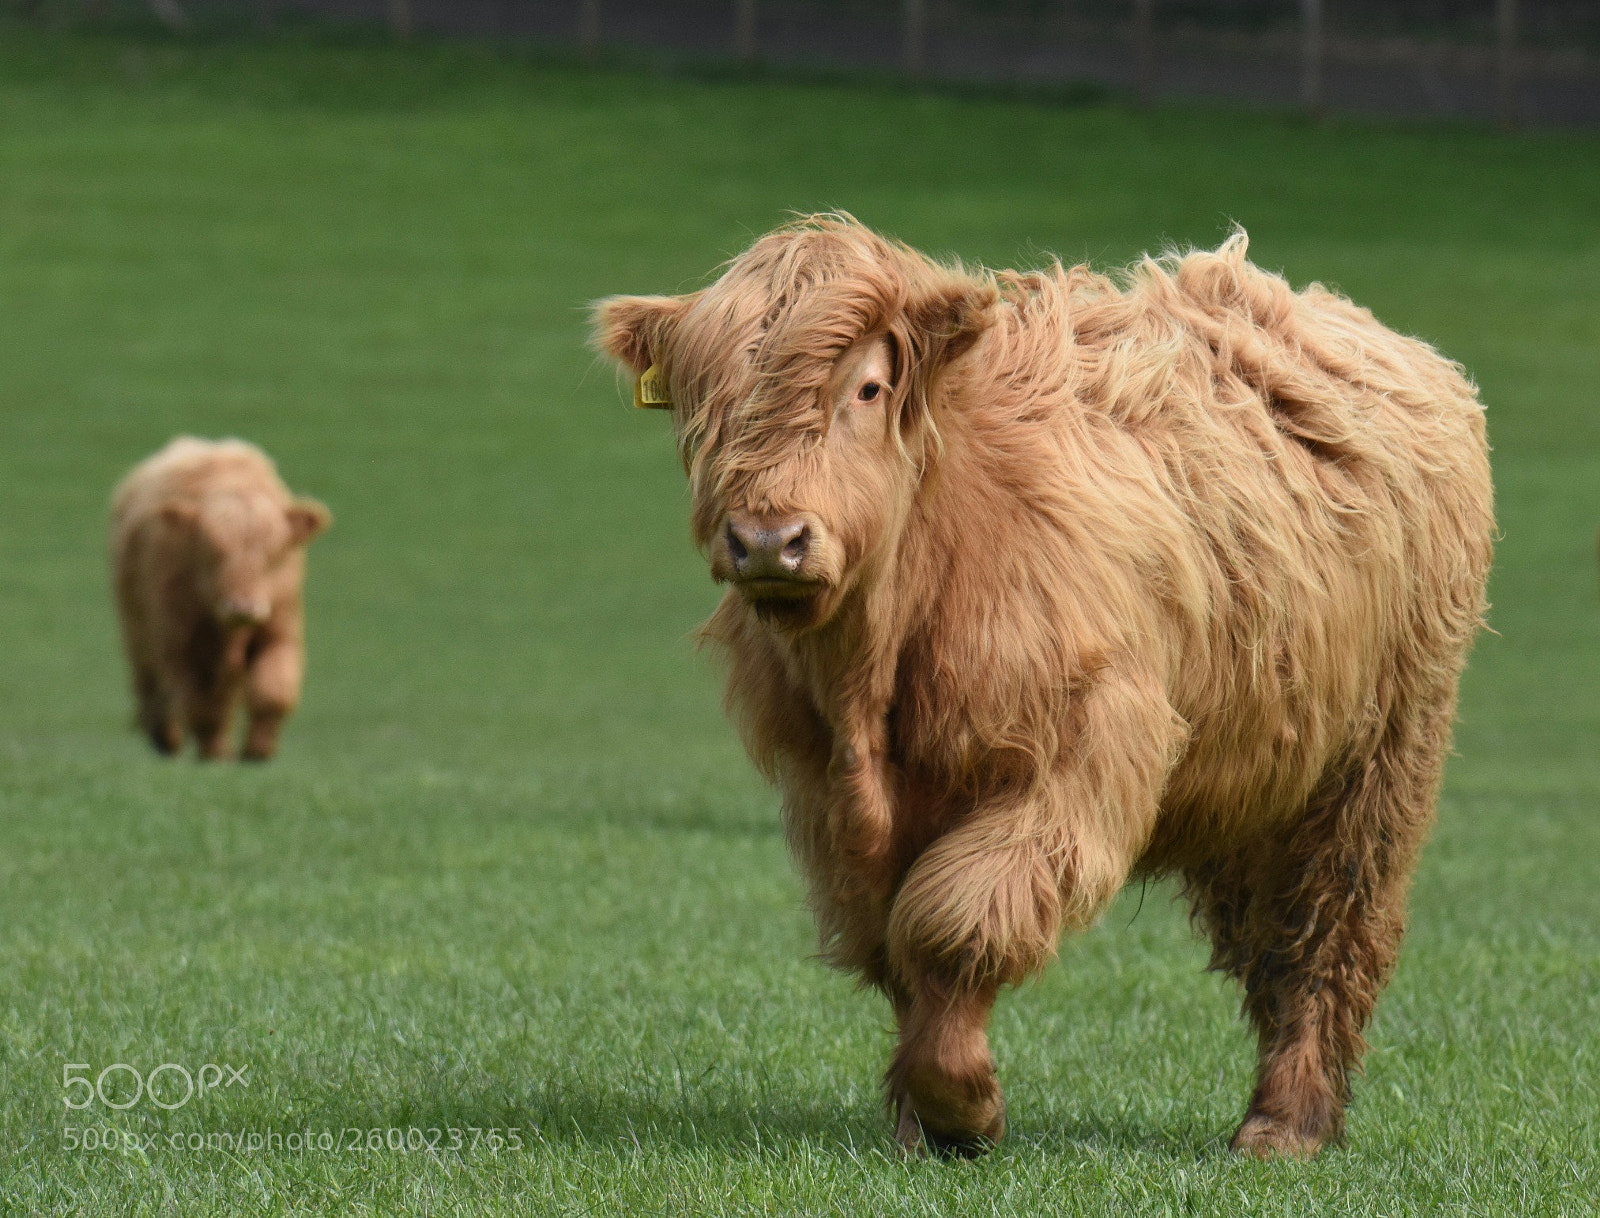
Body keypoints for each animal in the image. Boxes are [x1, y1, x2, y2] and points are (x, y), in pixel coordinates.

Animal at [111, 437, 331, 761]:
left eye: (274, 553)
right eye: (211, 551)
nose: (243, 607)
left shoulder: (279, 631)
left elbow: (272, 692)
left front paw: (258, 751)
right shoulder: (182, 643)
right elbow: (202, 705)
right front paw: (214, 754)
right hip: (138, 629)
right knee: (152, 683)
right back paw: (166, 738)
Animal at [592, 215, 1493, 1159]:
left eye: (867, 388)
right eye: (701, 402)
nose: (768, 539)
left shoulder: (1074, 753)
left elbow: (952, 924)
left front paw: (962, 1107)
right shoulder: (833, 800)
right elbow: (895, 941)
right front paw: (920, 1120)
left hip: (1380, 754)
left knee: (1327, 929)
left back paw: (1285, 1124)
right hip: (1258, 765)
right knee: (1268, 934)